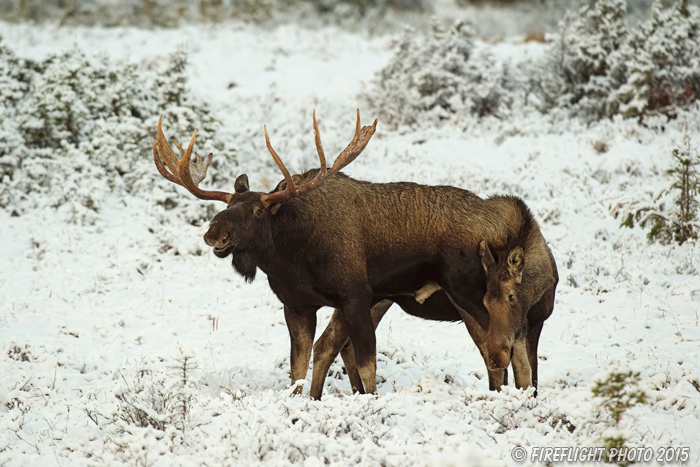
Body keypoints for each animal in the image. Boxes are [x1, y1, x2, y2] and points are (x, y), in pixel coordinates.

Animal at [153, 111, 556, 400]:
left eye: (257, 210)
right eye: (228, 205)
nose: (213, 233)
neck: (293, 258)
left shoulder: (356, 296)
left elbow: (366, 365)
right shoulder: (297, 305)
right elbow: (299, 366)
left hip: (474, 293)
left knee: (509, 347)